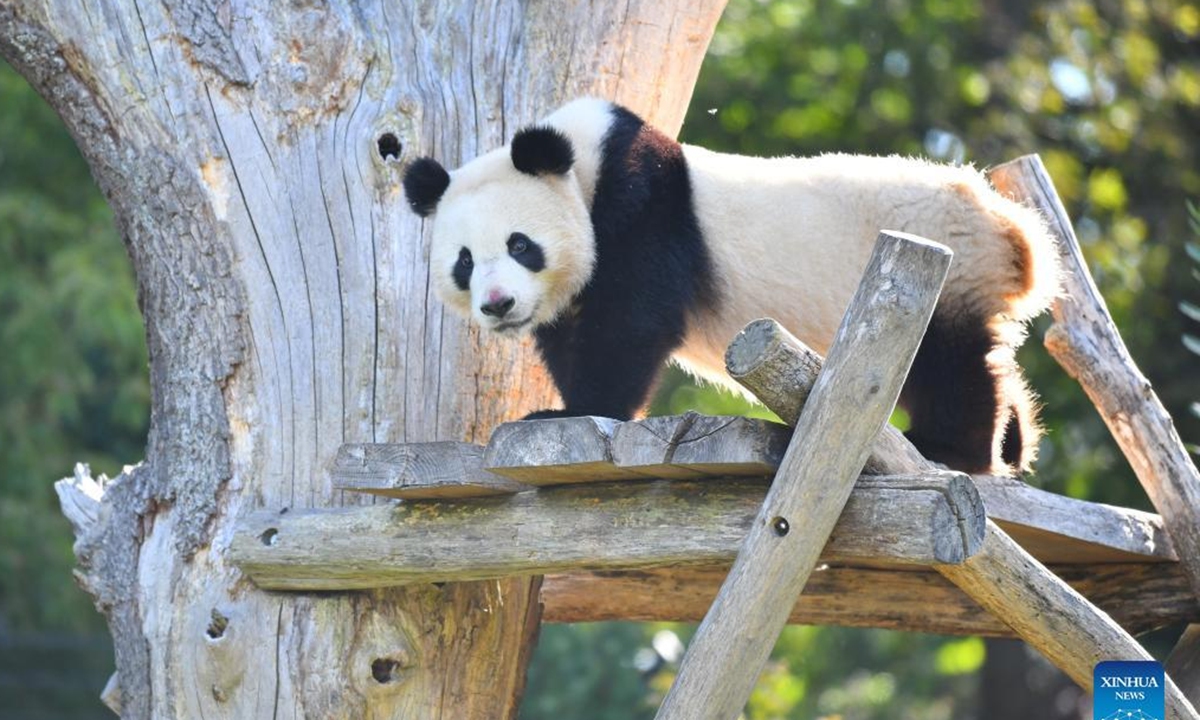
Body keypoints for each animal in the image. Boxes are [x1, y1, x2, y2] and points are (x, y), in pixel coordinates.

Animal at [402, 98, 1059, 475]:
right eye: (464, 262)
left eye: (520, 245)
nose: (499, 305)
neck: (584, 165)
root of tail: (1011, 231)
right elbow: (574, 331)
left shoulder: (645, 207)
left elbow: (631, 323)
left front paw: (576, 413)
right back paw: (1012, 445)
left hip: (939, 277)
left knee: (951, 365)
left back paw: (954, 449)